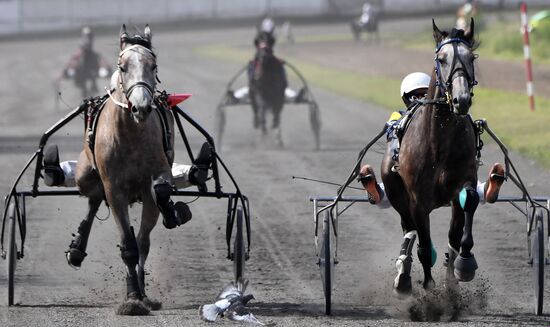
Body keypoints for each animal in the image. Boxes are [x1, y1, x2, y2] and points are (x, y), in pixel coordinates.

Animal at [70, 24, 191, 316]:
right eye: (122, 66)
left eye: (153, 65)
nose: (141, 106)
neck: (131, 134)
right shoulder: (115, 190)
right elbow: (128, 245)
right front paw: (133, 298)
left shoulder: (155, 176)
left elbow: (145, 233)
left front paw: (143, 294)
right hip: (85, 175)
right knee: (93, 199)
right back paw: (77, 248)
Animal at [382, 19, 480, 298]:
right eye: (441, 58)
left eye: (471, 57)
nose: (461, 99)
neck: (440, 140)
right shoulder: (417, 199)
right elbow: (424, 247)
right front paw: (428, 287)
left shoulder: (463, 182)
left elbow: (467, 205)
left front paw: (462, 267)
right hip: (396, 192)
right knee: (410, 230)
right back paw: (403, 277)